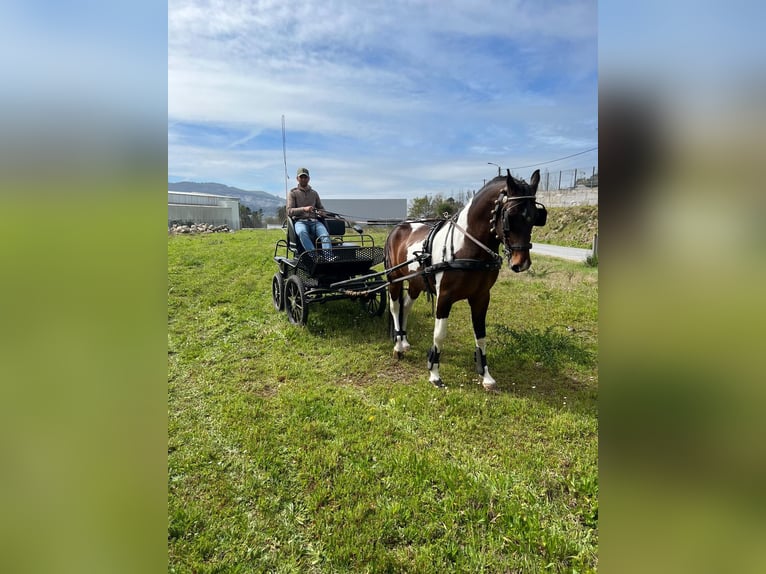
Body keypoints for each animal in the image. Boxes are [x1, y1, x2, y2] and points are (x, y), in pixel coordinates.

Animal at [384, 169, 547, 390]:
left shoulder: (481, 297)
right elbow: (439, 334)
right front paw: (434, 373)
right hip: (394, 279)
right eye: (510, 216)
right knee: (394, 308)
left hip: (416, 282)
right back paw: (398, 346)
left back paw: (404, 340)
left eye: (535, 217)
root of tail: (398, 227)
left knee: (406, 306)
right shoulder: (444, 297)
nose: (521, 263)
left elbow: (481, 335)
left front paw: (485, 375)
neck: (467, 247)